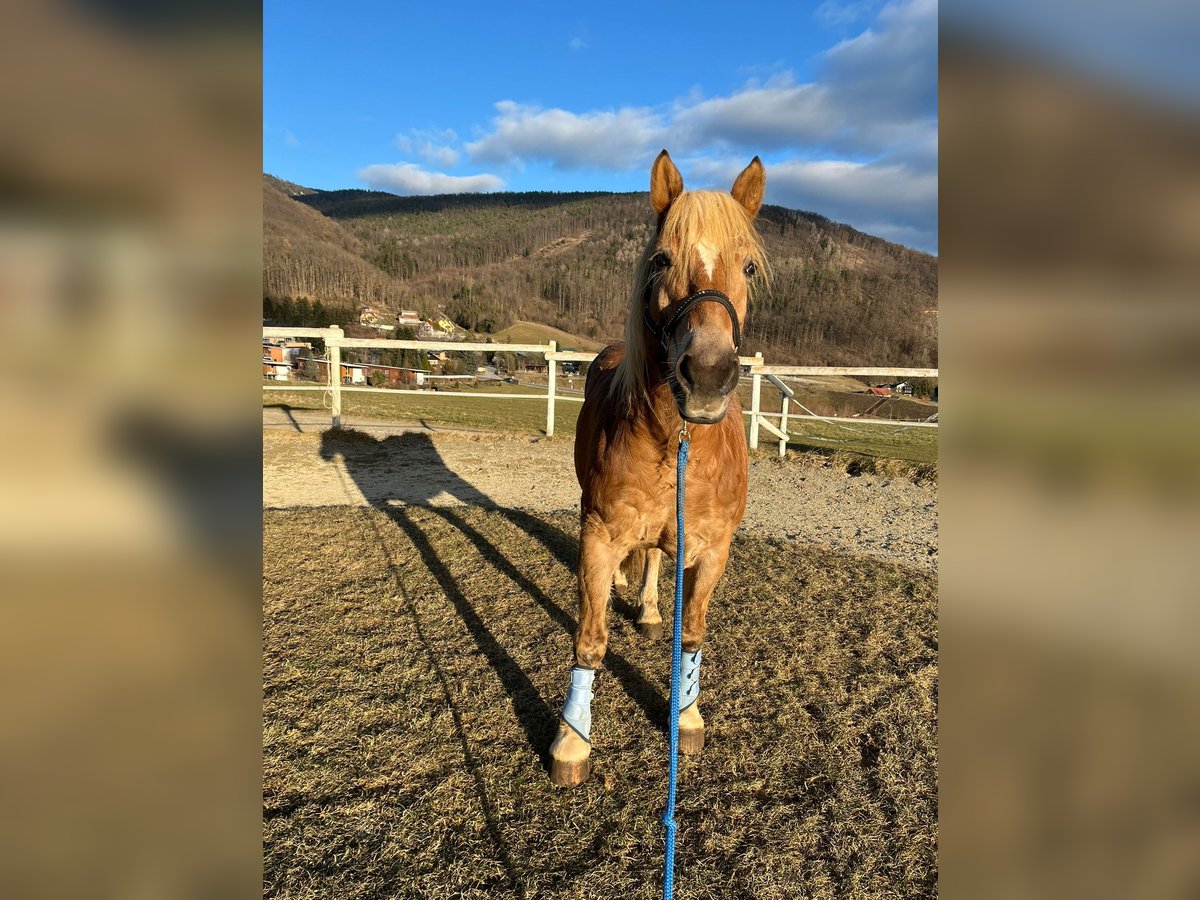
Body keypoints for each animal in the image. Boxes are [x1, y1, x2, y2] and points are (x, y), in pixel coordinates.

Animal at [549, 151, 763, 787]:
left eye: (748, 266)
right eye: (662, 259)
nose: (709, 374)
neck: (676, 442)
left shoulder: (712, 548)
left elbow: (690, 631)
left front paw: (685, 715)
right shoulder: (597, 534)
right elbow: (590, 639)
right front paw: (571, 741)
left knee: (654, 561)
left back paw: (646, 610)